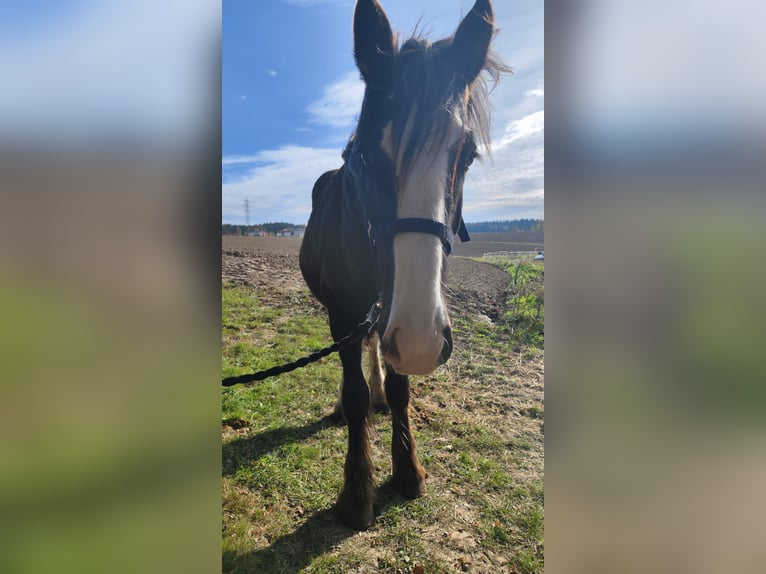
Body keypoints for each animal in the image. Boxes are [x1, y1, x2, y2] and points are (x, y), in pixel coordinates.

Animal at [299, 0, 507, 530]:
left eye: (467, 155)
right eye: (365, 154)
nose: (419, 342)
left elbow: (399, 388)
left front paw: (407, 469)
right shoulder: (344, 312)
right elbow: (354, 391)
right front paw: (357, 492)